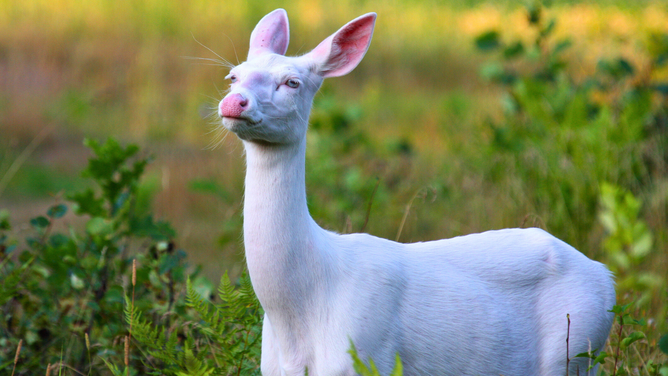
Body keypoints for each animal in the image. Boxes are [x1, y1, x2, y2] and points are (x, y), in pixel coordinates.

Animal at [217, 8, 612, 376]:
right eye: (233, 76)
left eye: (292, 82)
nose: (235, 102)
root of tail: (607, 277)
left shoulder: (367, 354)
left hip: (576, 348)